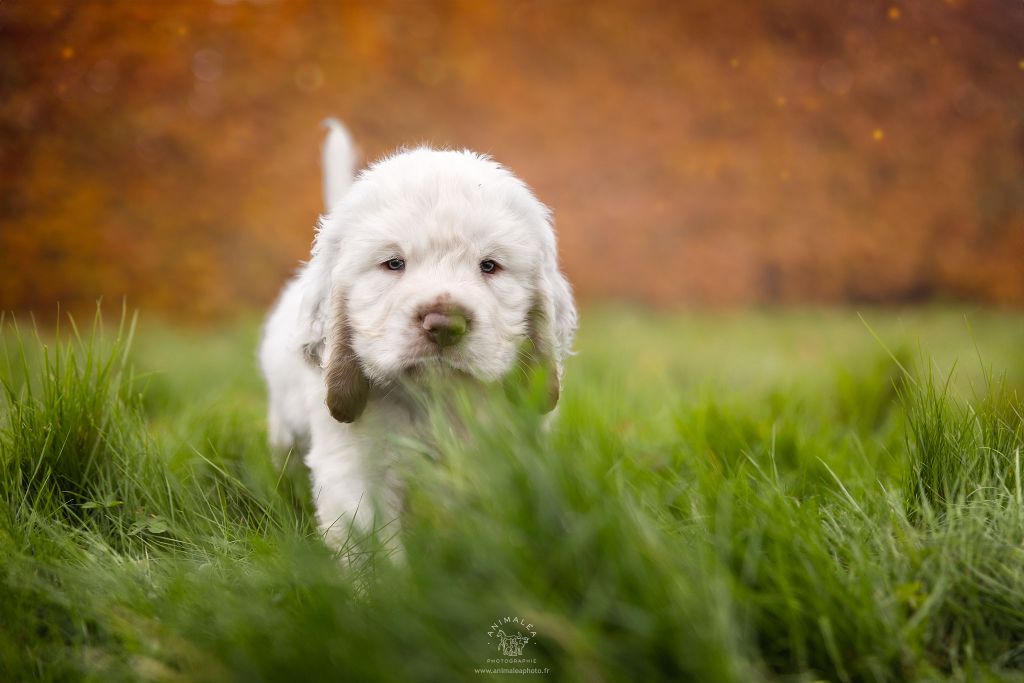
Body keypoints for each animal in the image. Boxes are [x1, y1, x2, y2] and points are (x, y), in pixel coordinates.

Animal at [258, 120, 577, 552]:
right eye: (394, 263)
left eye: (489, 266)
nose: (444, 323)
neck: (435, 399)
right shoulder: (354, 467)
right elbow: (371, 545)